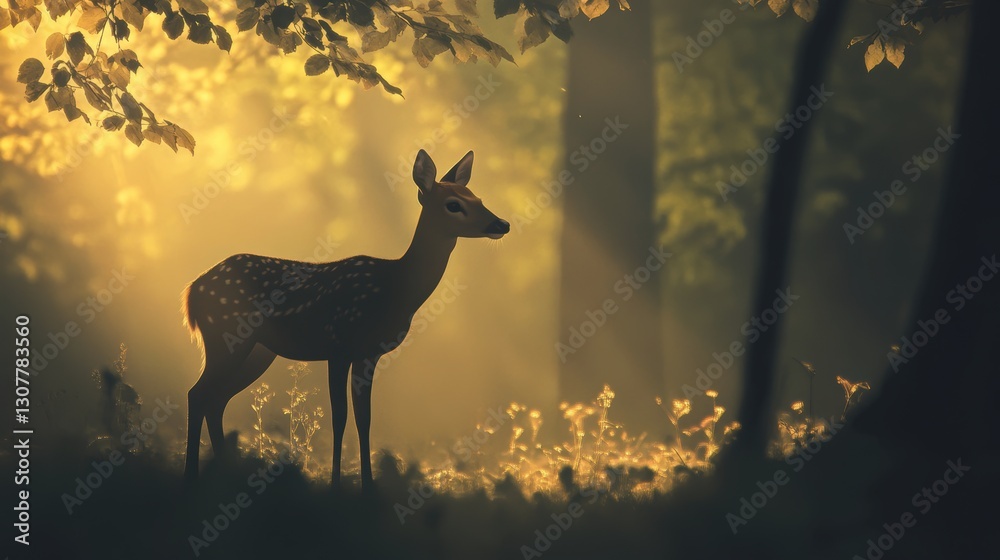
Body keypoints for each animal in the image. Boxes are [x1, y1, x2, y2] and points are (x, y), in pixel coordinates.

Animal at [181, 150, 509, 491]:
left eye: (478, 198)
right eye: (454, 204)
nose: (502, 223)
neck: (395, 288)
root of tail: (192, 290)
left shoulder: (368, 354)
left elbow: (364, 419)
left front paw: (367, 486)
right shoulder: (338, 344)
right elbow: (339, 417)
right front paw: (336, 484)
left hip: (258, 351)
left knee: (216, 399)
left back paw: (223, 472)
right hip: (226, 334)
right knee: (198, 394)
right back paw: (191, 477)